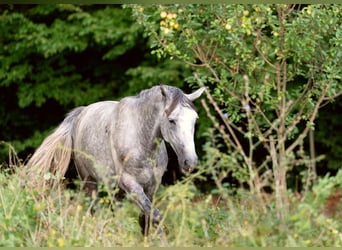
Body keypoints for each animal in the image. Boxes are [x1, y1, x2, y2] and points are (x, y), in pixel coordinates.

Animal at [26, 85, 204, 235]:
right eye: (172, 120)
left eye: (195, 120)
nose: (190, 162)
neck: (141, 140)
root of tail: (81, 114)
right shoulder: (131, 184)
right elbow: (155, 215)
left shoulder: (152, 186)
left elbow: (147, 217)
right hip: (89, 182)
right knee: (93, 210)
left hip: (115, 189)